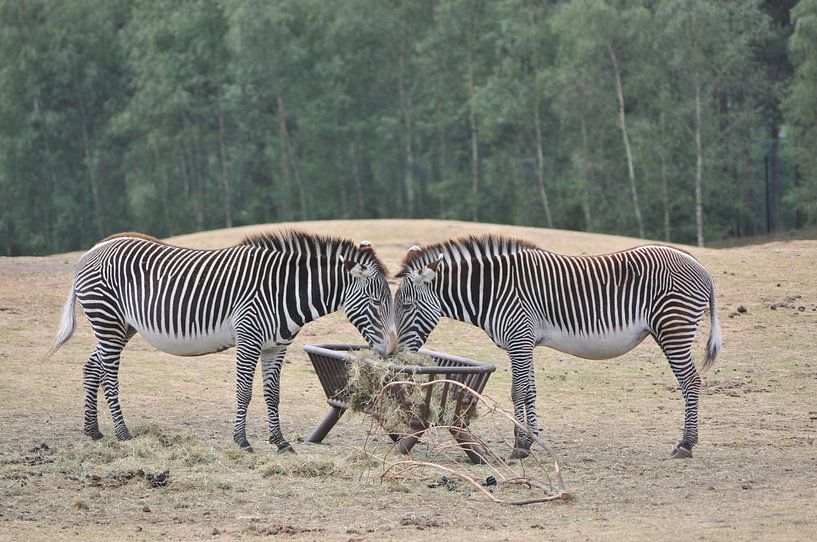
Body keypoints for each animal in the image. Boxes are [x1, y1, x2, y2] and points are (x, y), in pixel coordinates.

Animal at [47, 232, 398, 452]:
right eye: (377, 302)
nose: (393, 349)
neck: (286, 291)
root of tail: (91, 251)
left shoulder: (276, 346)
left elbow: (273, 396)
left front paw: (280, 442)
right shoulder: (249, 338)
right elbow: (244, 392)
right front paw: (242, 441)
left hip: (122, 326)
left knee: (92, 367)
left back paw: (93, 430)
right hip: (106, 317)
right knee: (108, 375)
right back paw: (122, 433)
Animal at [396, 236, 720, 462]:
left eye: (406, 306)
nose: (398, 353)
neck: (493, 291)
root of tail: (700, 265)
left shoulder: (518, 338)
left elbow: (518, 391)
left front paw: (519, 447)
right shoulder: (524, 342)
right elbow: (530, 390)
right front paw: (530, 440)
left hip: (674, 328)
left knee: (691, 382)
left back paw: (686, 445)